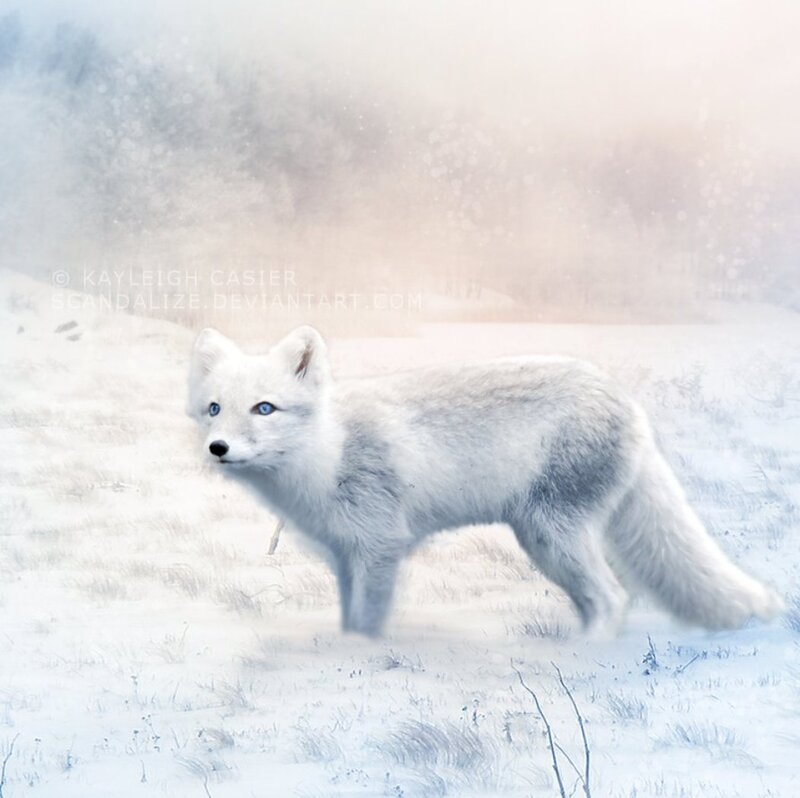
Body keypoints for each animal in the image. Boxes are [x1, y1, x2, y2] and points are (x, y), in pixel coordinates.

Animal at [187, 325, 783, 638]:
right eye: (215, 409)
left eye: (264, 409)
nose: (218, 449)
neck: (327, 456)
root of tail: (627, 401)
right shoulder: (344, 556)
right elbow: (349, 620)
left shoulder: (381, 548)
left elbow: (371, 621)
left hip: (550, 536)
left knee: (613, 598)